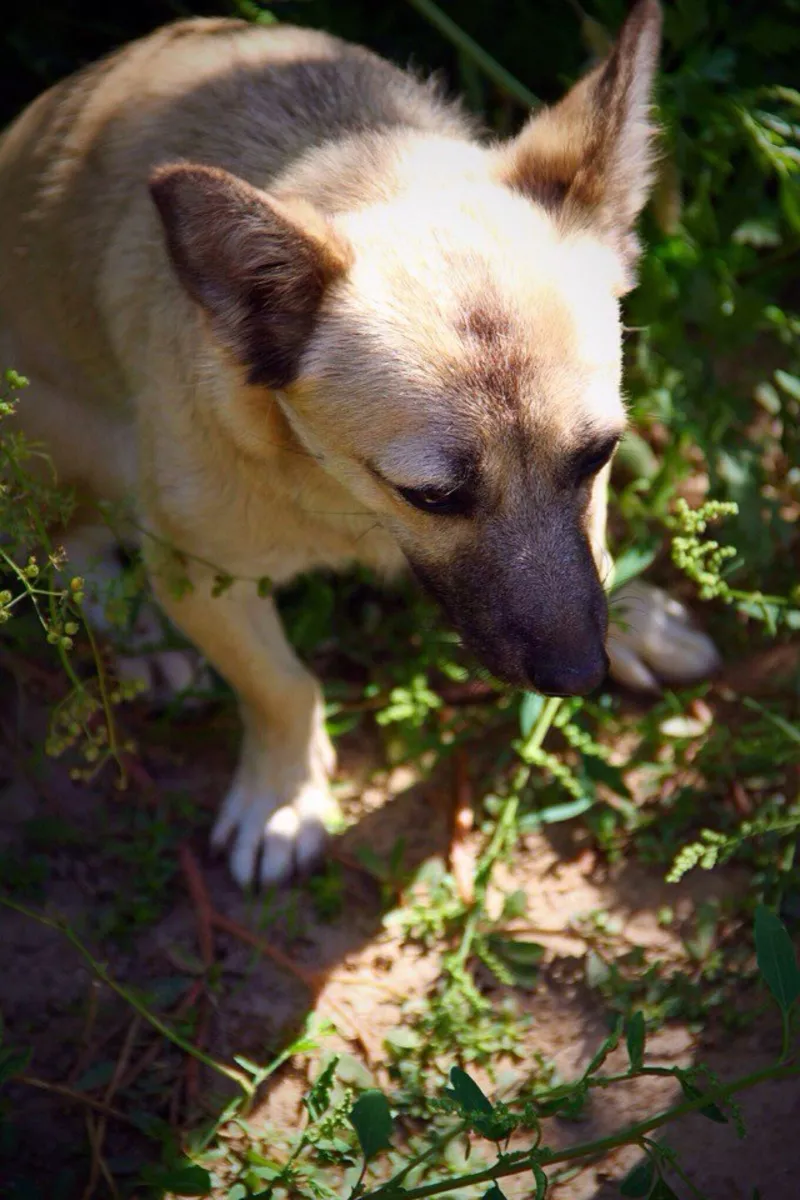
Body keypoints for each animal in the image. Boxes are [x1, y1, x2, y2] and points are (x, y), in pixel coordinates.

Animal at [0, 0, 719, 883]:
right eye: (432, 496)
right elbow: (279, 684)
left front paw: (638, 611)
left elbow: (600, 552)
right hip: (70, 441)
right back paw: (137, 639)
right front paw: (284, 791)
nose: (579, 675)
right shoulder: (198, 577)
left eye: (597, 456)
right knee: (64, 546)